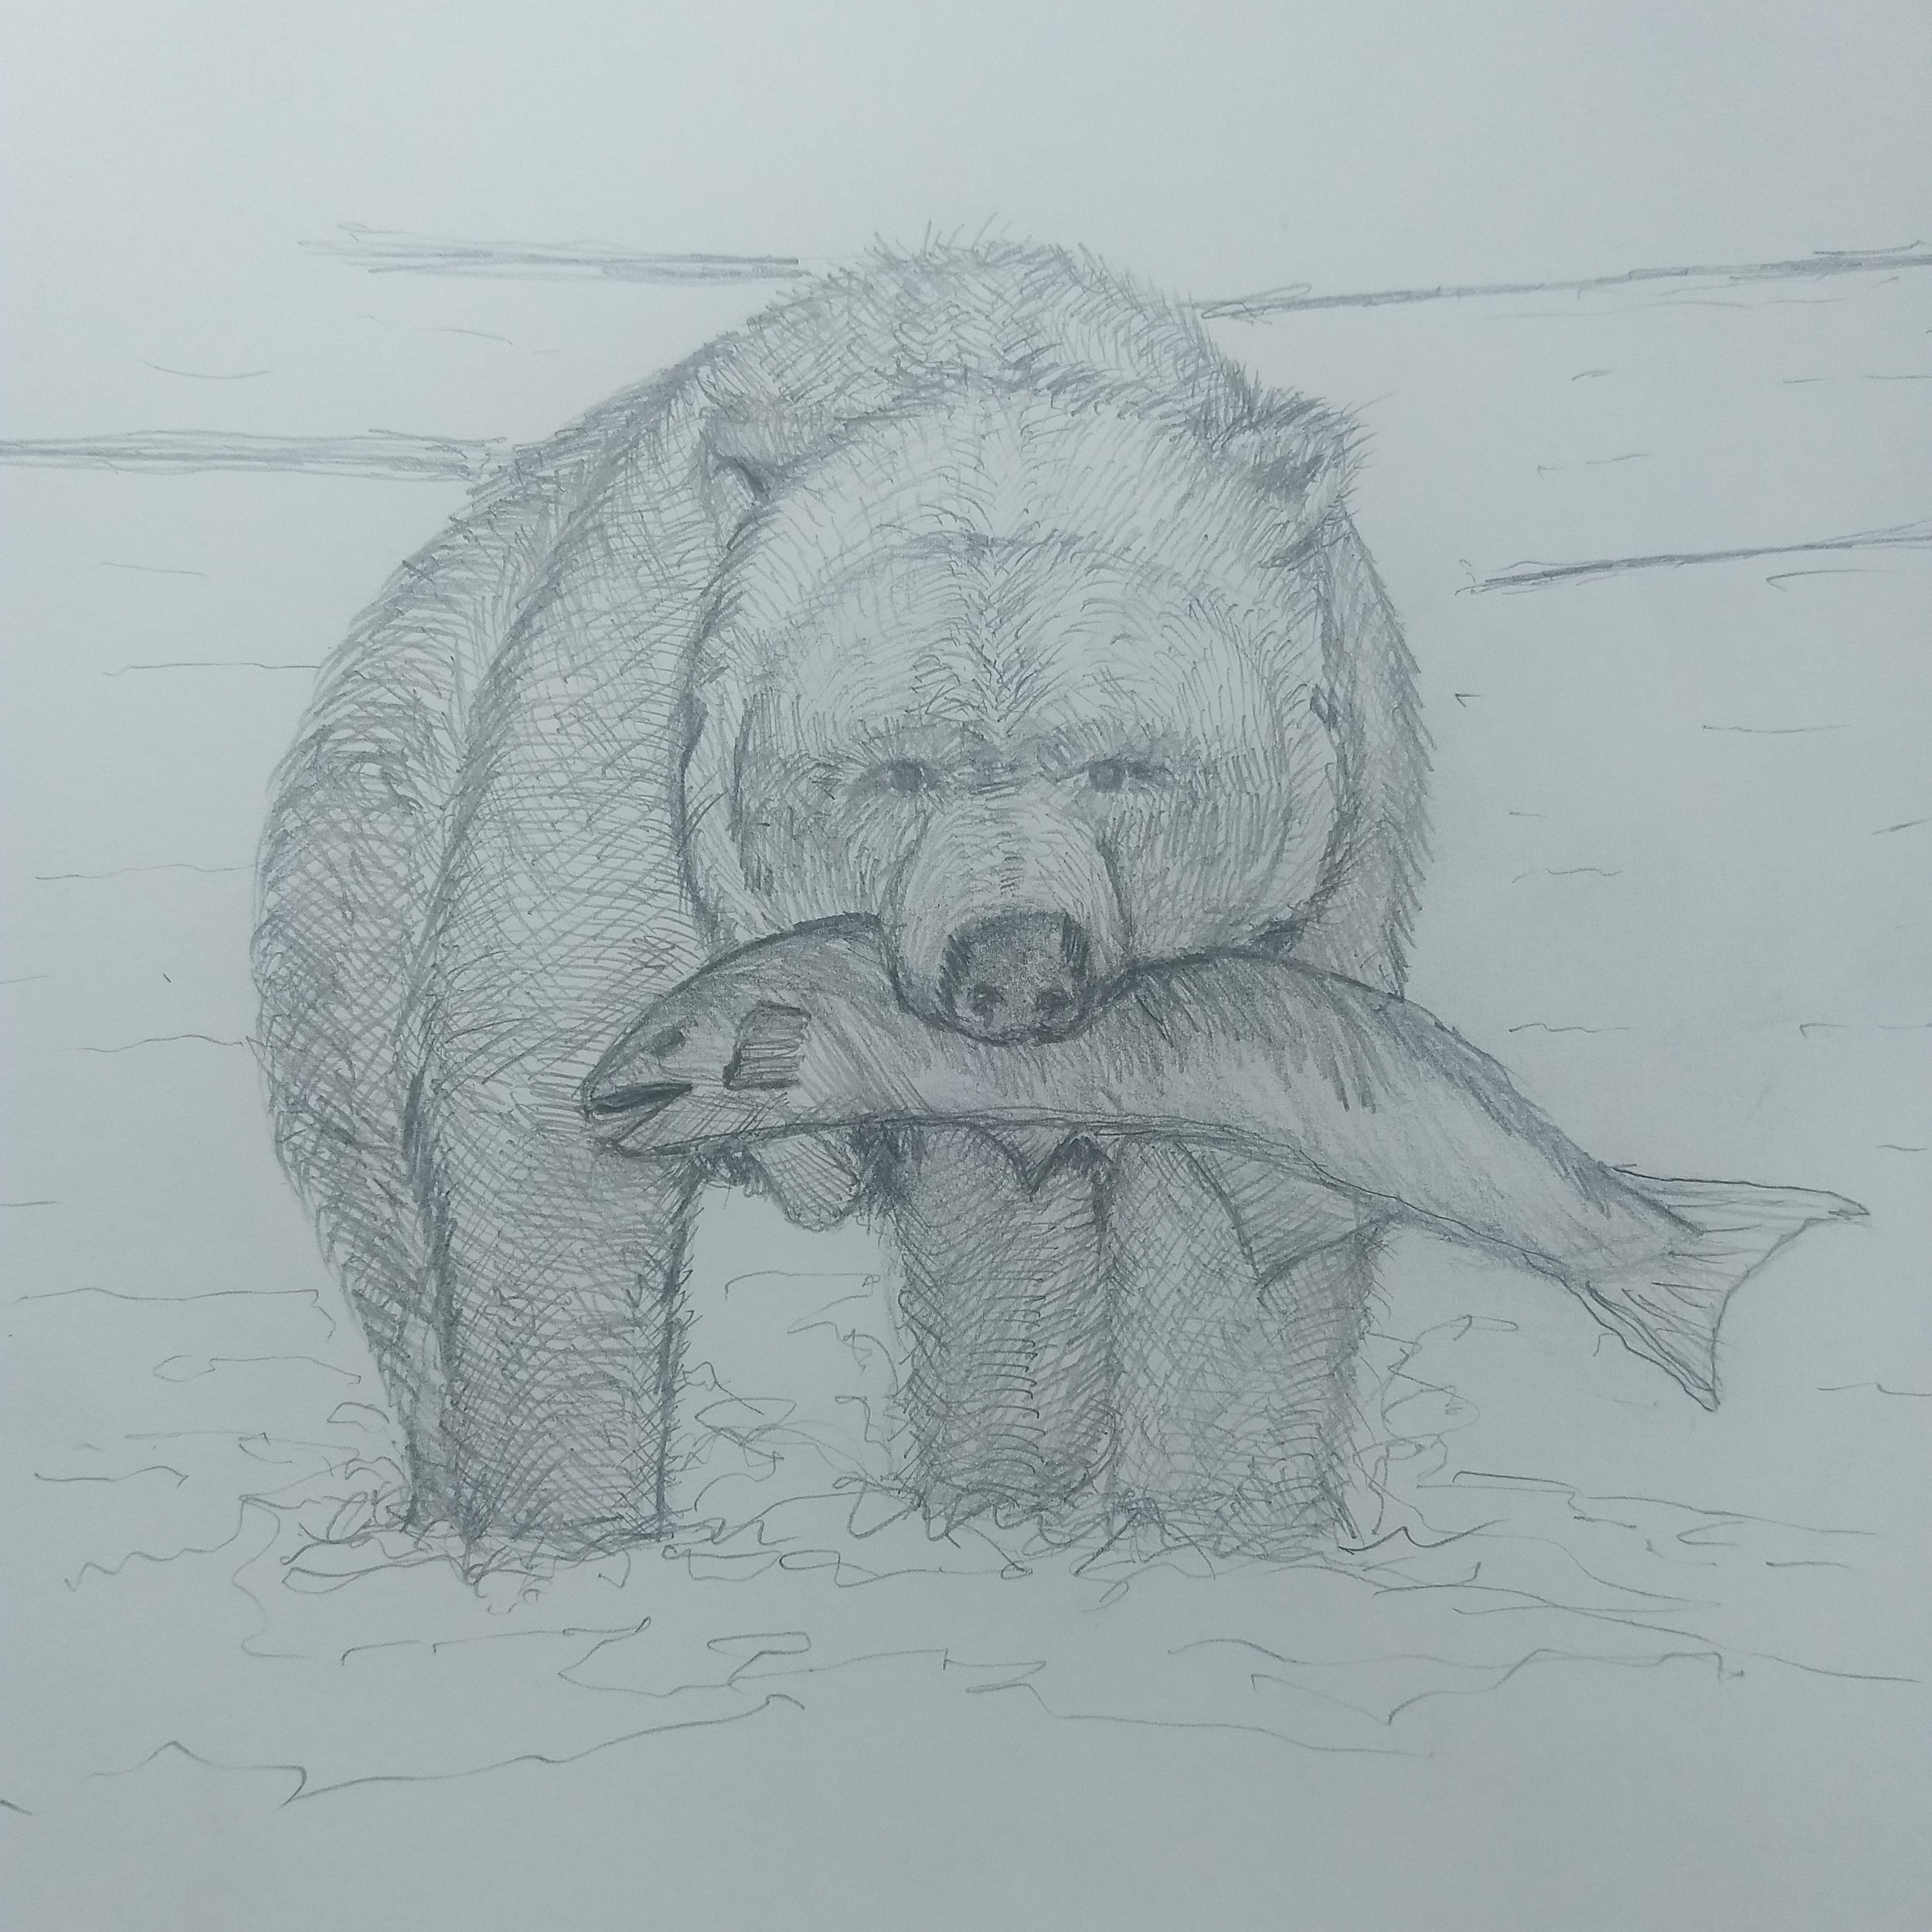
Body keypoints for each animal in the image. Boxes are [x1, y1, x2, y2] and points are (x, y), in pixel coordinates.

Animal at [254, 240, 1428, 1557]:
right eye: (897, 770)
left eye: (1125, 765)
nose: (1017, 960)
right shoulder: (627, 747)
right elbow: (545, 1131)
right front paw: (567, 1537)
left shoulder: (1325, 858)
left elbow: (1250, 1193)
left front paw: (1224, 1529)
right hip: (357, 878)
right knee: (390, 1231)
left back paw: (1005, 1501)